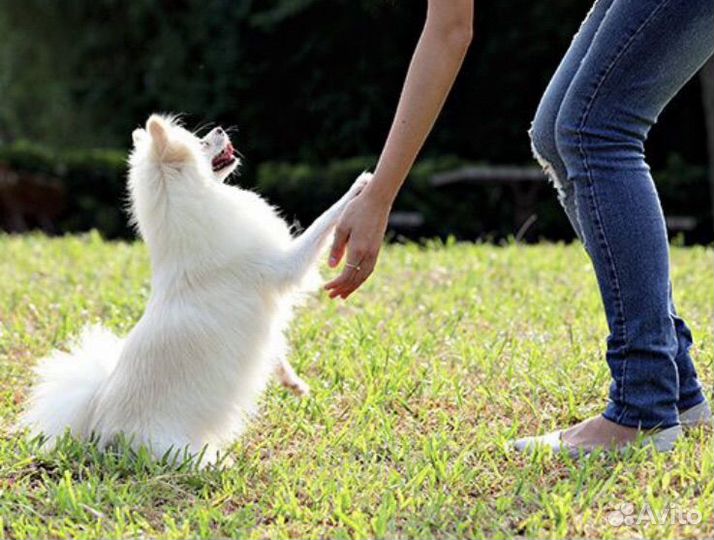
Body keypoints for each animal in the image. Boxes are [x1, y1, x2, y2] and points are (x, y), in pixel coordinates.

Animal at [19, 114, 370, 464]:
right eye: (201, 142)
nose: (220, 128)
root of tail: (98, 427)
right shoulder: (285, 265)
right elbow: (324, 222)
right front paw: (359, 185)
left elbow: (276, 348)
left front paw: (291, 381)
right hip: (176, 450)